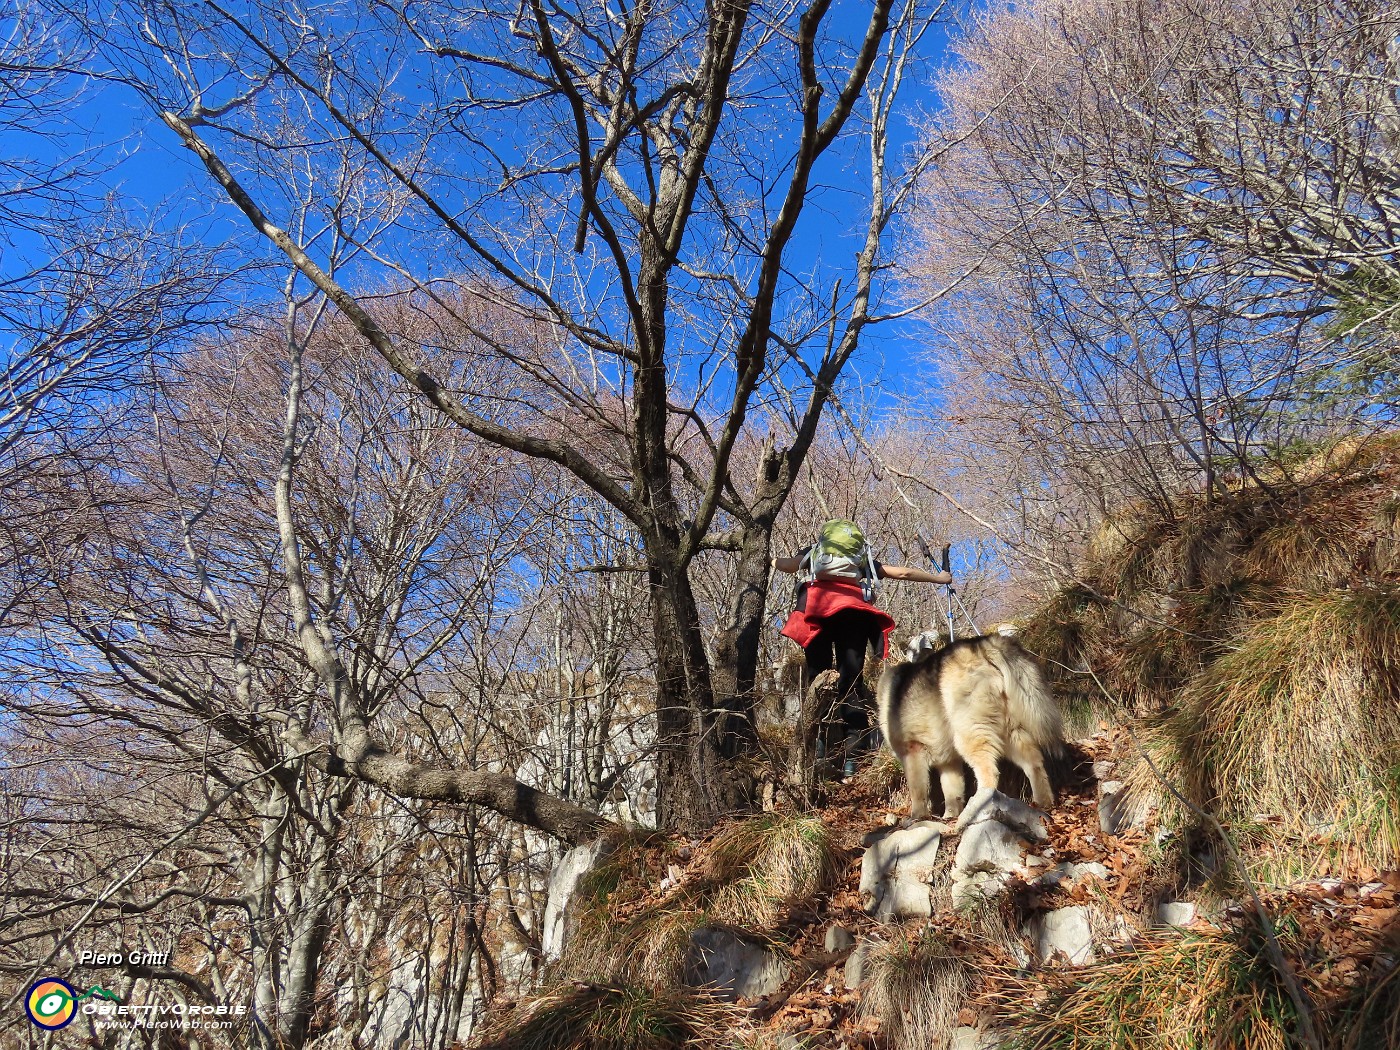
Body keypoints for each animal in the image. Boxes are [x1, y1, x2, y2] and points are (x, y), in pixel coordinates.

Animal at [879, 632, 1064, 828]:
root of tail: (983, 644)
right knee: (1034, 764)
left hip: (971, 733)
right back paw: (1043, 804)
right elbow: (952, 792)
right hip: (1011, 732)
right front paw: (949, 816)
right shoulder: (949, 762)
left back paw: (980, 806)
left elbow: (918, 791)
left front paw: (916, 817)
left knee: (989, 773)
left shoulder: (912, 753)